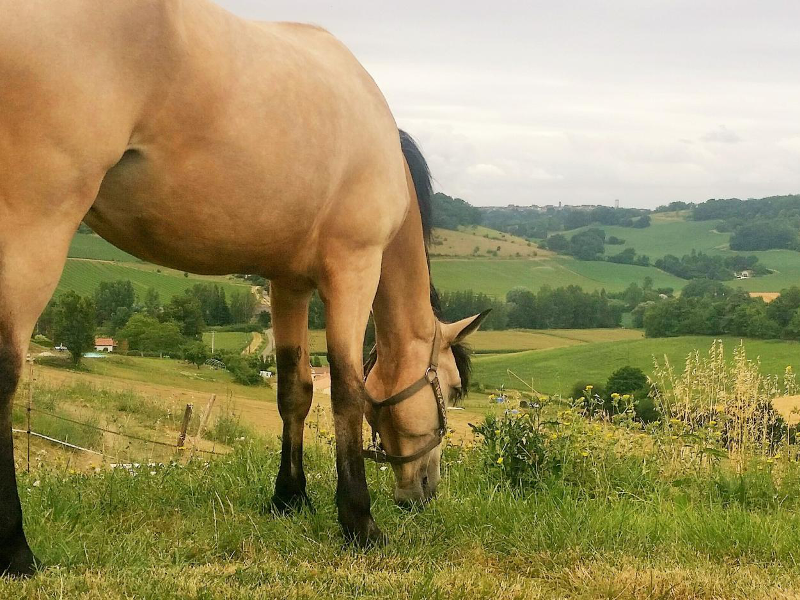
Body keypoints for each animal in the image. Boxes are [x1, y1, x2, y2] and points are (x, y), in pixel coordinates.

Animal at [0, 0, 488, 576]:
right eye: (452, 389)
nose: (426, 491)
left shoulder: (287, 283)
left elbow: (294, 390)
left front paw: (290, 498)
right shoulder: (354, 271)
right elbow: (347, 392)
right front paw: (359, 523)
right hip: (35, 224)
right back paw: (15, 550)